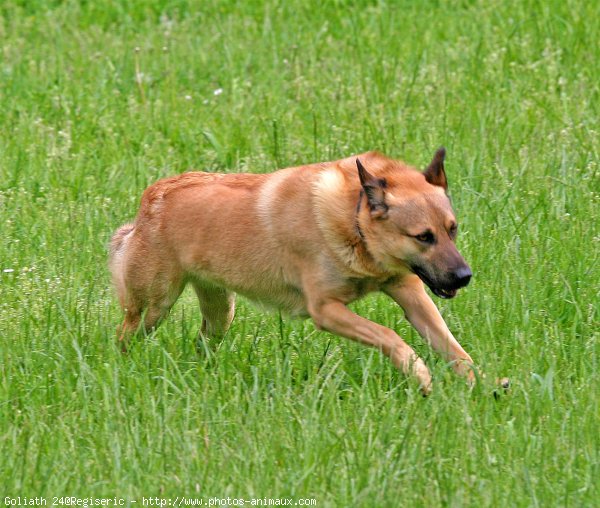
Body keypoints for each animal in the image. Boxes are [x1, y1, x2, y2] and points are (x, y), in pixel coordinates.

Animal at [110, 149, 486, 394]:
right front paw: (420, 376)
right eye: (423, 236)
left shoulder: (410, 291)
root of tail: (152, 198)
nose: (464, 277)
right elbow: (389, 335)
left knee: (202, 344)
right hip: (153, 306)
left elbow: (453, 347)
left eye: (452, 229)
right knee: (124, 336)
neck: (354, 220)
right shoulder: (326, 309)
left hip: (220, 312)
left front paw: (482, 387)